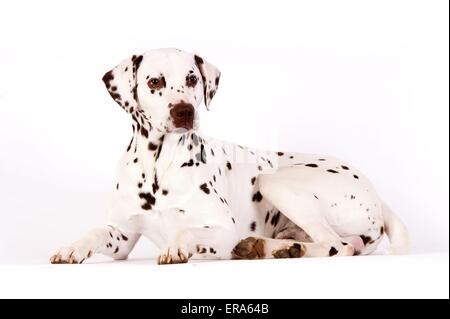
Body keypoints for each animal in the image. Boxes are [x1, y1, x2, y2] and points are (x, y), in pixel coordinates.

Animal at [50, 48, 412, 266]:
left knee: (337, 245)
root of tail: (377, 196)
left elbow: (189, 232)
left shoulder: (223, 231)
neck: (157, 168)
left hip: (273, 180)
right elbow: (96, 232)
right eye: (154, 81)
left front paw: (178, 245)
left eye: (192, 78)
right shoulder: (123, 237)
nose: (185, 111)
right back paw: (271, 248)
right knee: (341, 244)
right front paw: (72, 246)